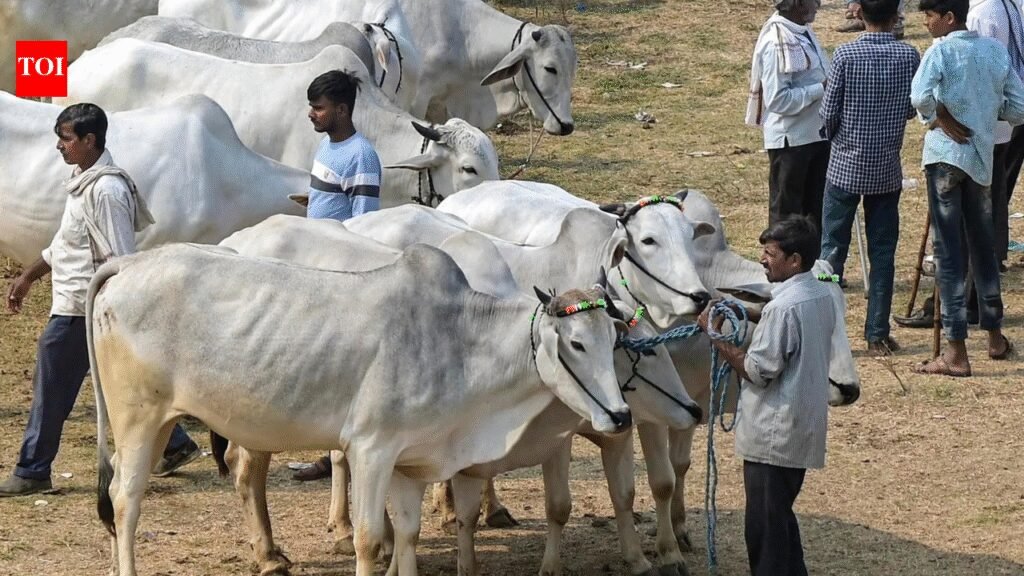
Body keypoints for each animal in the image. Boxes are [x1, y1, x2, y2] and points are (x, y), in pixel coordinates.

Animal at [87, 242, 632, 576]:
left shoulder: (410, 462)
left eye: (615, 339)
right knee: (124, 500)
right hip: (137, 421)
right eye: (577, 344)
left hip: (161, 423)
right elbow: (370, 539)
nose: (621, 416)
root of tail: (131, 263)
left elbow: (407, 534)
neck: (455, 338)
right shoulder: (371, 450)